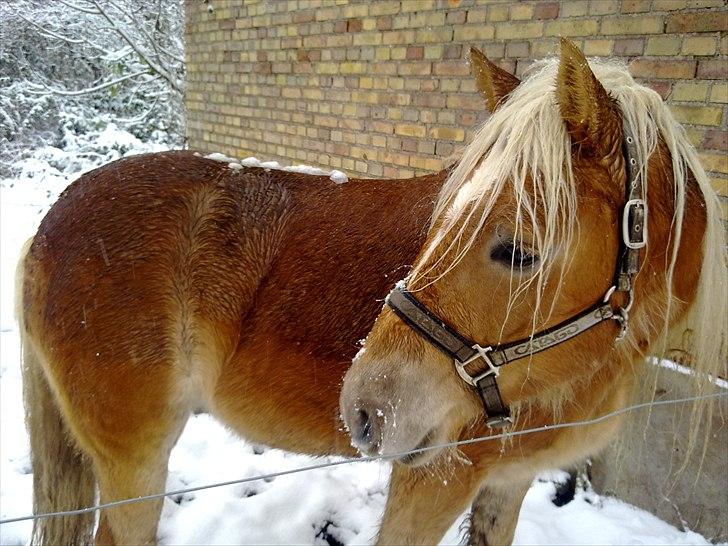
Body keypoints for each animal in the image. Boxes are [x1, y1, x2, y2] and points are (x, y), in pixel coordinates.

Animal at [17, 39, 728, 544]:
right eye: (437, 222)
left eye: (517, 250)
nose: (362, 408)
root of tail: (45, 230)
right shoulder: (433, 481)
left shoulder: (508, 486)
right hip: (135, 465)